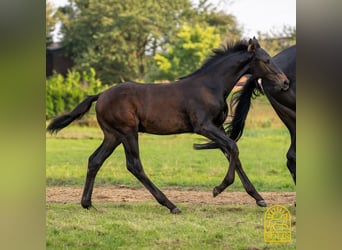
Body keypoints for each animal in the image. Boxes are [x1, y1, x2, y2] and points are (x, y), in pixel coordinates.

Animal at [46, 38, 288, 214]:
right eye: (266, 60)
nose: (285, 82)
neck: (211, 86)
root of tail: (100, 95)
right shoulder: (203, 126)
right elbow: (234, 148)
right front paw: (218, 189)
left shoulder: (217, 127)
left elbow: (233, 154)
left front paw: (259, 198)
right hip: (128, 132)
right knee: (134, 165)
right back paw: (171, 205)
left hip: (112, 135)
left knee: (95, 160)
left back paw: (87, 203)